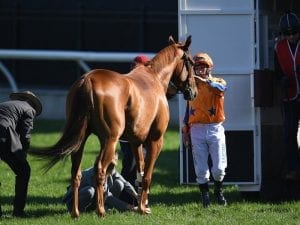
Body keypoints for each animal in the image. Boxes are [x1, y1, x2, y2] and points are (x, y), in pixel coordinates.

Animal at [31, 35, 198, 218]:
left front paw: (141, 205)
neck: (154, 78)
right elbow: (147, 175)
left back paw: (75, 212)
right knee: (99, 170)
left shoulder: (135, 142)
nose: (193, 92)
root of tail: (87, 80)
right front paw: (143, 208)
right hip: (110, 141)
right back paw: (101, 210)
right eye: (191, 62)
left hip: (80, 141)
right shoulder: (155, 140)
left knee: (76, 172)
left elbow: (139, 174)